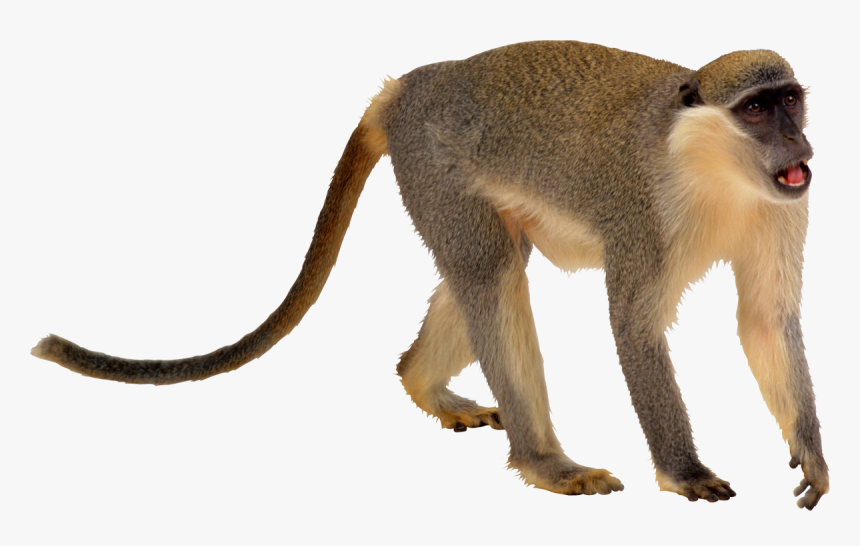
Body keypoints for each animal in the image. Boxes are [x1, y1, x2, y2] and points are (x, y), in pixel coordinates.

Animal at [31, 41, 827, 510]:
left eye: (790, 100)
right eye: (757, 109)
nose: (799, 143)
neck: (714, 169)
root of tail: (407, 86)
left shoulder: (785, 207)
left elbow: (763, 321)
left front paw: (813, 455)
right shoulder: (643, 211)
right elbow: (633, 328)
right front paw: (684, 471)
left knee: (494, 267)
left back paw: (421, 380)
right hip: (433, 164)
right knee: (493, 272)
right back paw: (544, 462)